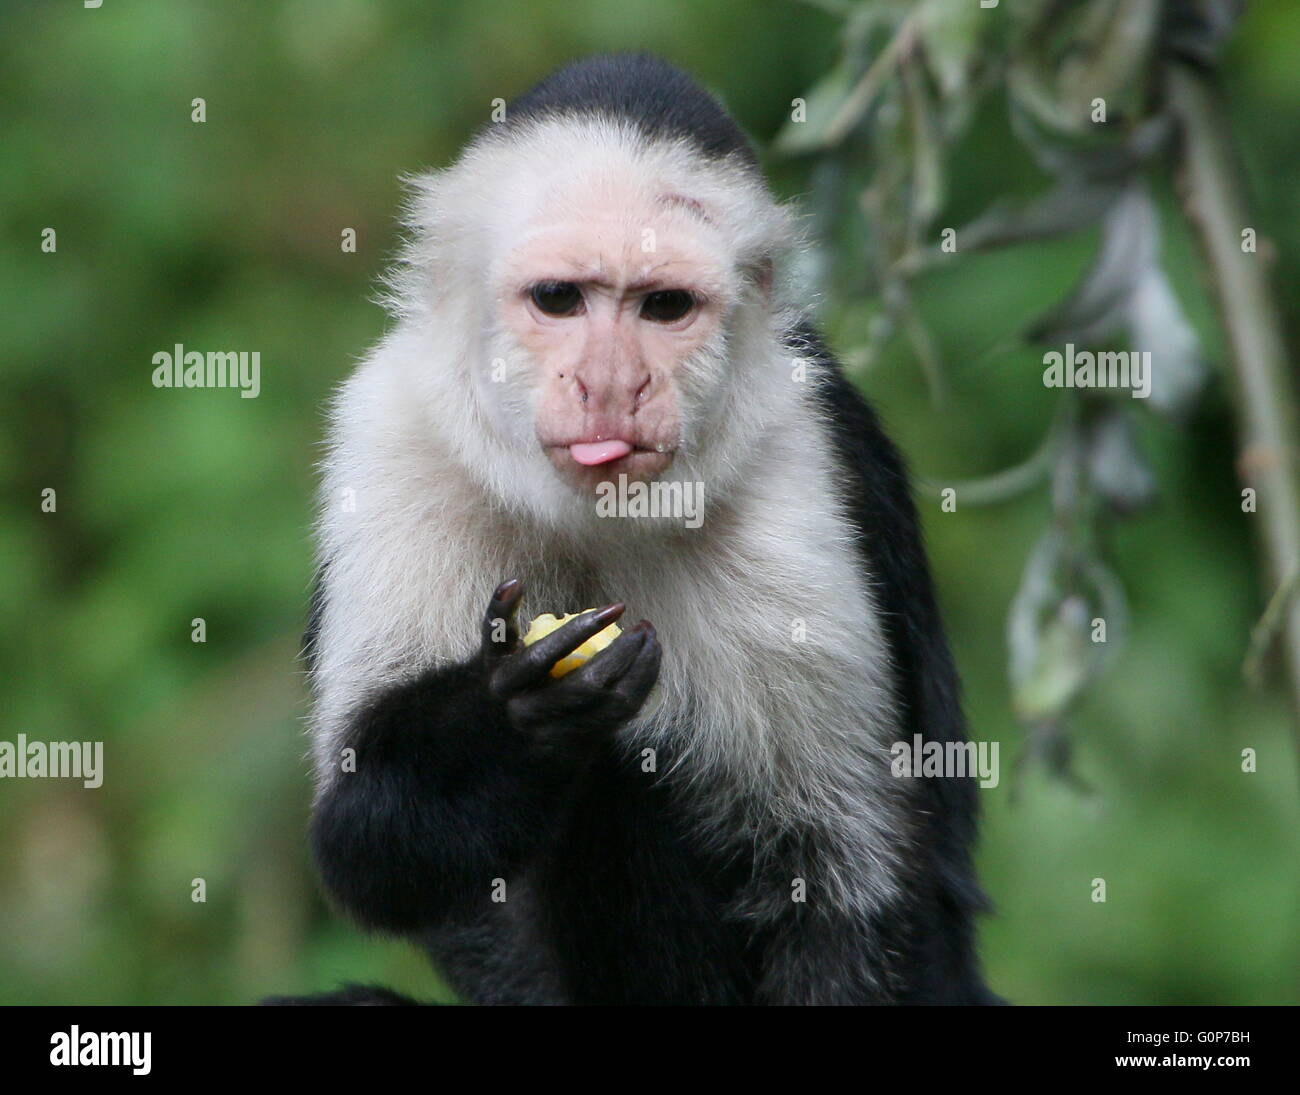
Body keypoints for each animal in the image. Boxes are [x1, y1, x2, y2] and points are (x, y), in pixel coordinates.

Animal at [269, 55, 998, 1003]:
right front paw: (519, 722)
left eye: (664, 305)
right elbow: (360, 843)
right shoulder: (391, 431)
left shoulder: (794, 476)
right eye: (559, 299)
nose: (611, 383)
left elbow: (840, 885)